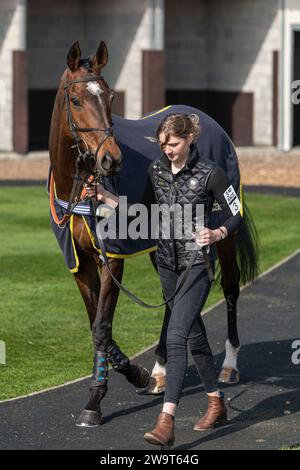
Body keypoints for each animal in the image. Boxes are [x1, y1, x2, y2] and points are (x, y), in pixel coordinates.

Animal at [48, 42, 258, 428]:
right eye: (76, 100)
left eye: (110, 96)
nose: (111, 160)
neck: (79, 186)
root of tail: (203, 118)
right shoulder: (79, 262)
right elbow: (96, 325)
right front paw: (139, 374)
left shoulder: (112, 257)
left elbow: (102, 327)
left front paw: (96, 400)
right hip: (159, 242)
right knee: (171, 296)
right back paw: (160, 370)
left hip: (222, 231)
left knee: (230, 287)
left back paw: (228, 365)